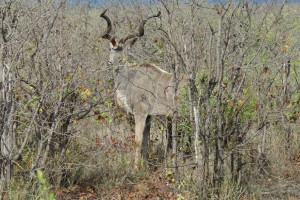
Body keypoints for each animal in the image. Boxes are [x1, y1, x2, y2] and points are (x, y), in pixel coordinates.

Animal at [101, 9, 184, 169]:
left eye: (110, 48)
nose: (108, 63)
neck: (129, 75)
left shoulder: (140, 113)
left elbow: (137, 141)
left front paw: (135, 169)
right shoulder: (150, 116)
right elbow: (146, 142)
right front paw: (144, 167)